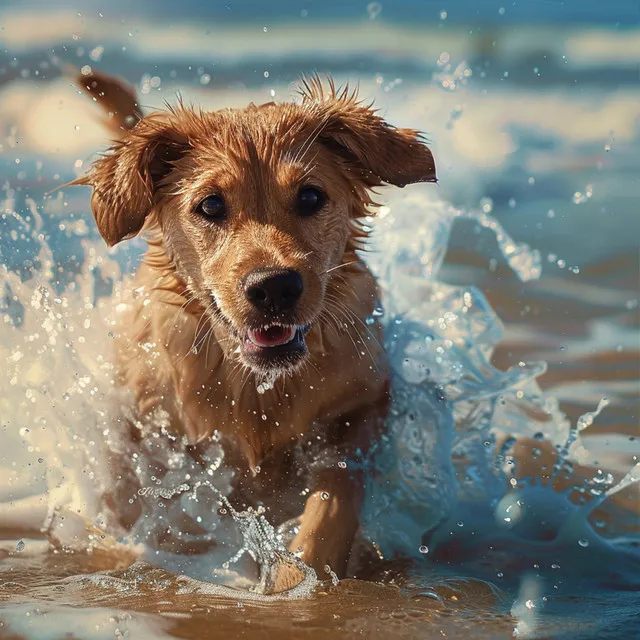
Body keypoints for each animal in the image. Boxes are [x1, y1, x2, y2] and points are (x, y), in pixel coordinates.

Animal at [72, 69, 438, 592]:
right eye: (210, 205)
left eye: (310, 197)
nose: (274, 287)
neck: (258, 388)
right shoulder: (145, 431)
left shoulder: (364, 400)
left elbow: (336, 492)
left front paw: (296, 578)